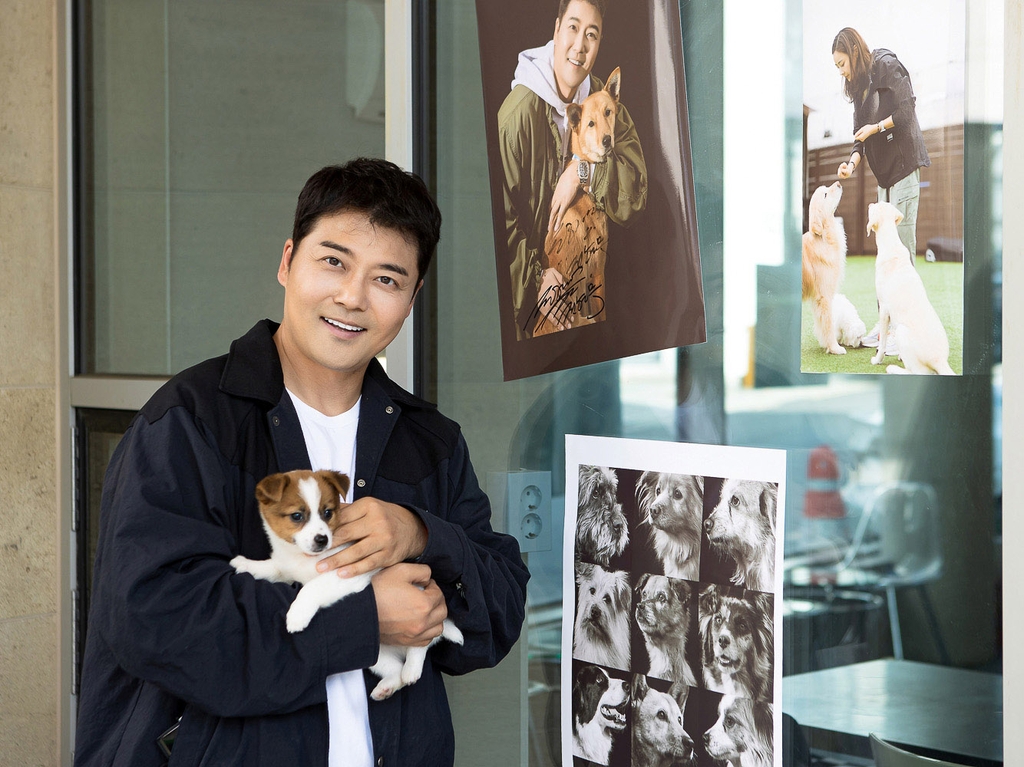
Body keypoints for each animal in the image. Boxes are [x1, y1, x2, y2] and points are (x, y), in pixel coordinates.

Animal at [231, 466, 464, 700]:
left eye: (327, 513)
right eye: (297, 516)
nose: (322, 539)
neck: (302, 558)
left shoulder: (345, 573)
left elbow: (311, 588)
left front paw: (297, 615)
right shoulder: (286, 568)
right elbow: (271, 568)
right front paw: (245, 564)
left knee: (424, 644)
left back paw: (412, 669)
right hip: (375, 651)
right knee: (394, 669)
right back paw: (386, 687)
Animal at [802, 182, 851, 356]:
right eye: (824, 194)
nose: (839, 183)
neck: (823, 236)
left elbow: (821, 323)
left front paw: (826, 345)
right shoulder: (824, 296)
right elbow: (828, 323)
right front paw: (835, 347)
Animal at [868, 200, 954, 374]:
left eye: (875, 206)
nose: (870, 203)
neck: (891, 244)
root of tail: (940, 361)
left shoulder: (884, 310)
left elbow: (882, 344)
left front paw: (877, 360)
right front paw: (900, 356)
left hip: (902, 331)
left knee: (918, 372)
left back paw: (893, 368)